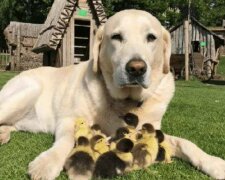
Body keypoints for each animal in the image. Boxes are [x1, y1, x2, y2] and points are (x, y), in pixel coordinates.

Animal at [0, 9, 225, 180]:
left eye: (151, 37)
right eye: (116, 37)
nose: (136, 68)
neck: (126, 101)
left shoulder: (153, 130)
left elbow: (186, 142)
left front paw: (215, 163)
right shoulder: (68, 119)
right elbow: (65, 140)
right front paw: (47, 163)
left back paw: (3, 134)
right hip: (28, 90)